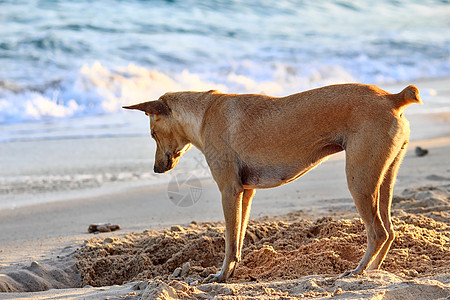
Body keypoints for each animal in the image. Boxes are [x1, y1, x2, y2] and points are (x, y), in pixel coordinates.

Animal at [123, 83, 422, 282]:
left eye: (152, 133)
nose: (156, 169)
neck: (205, 112)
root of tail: (392, 99)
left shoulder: (229, 190)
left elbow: (230, 241)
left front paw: (221, 275)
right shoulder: (246, 192)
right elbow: (238, 238)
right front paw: (231, 271)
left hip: (359, 180)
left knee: (377, 232)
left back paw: (359, 271)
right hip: (382, 179)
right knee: (389, 231)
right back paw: (373, 271)